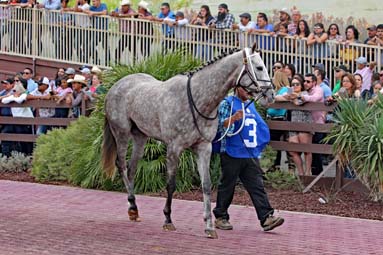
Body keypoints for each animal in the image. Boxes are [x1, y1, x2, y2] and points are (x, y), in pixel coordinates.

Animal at [100, 46, 274, 239]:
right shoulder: (174, 148)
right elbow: (171, 184)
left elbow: (206, 185)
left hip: (140, 137)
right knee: (122, 165)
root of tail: (116, 86)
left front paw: (209, 226)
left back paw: (134, 210)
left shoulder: (203, 148)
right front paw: (168, 220)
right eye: (259, 67)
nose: (271, 94)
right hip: (121, 134)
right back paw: (132, 206)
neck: (197, 100)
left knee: (131, 169)